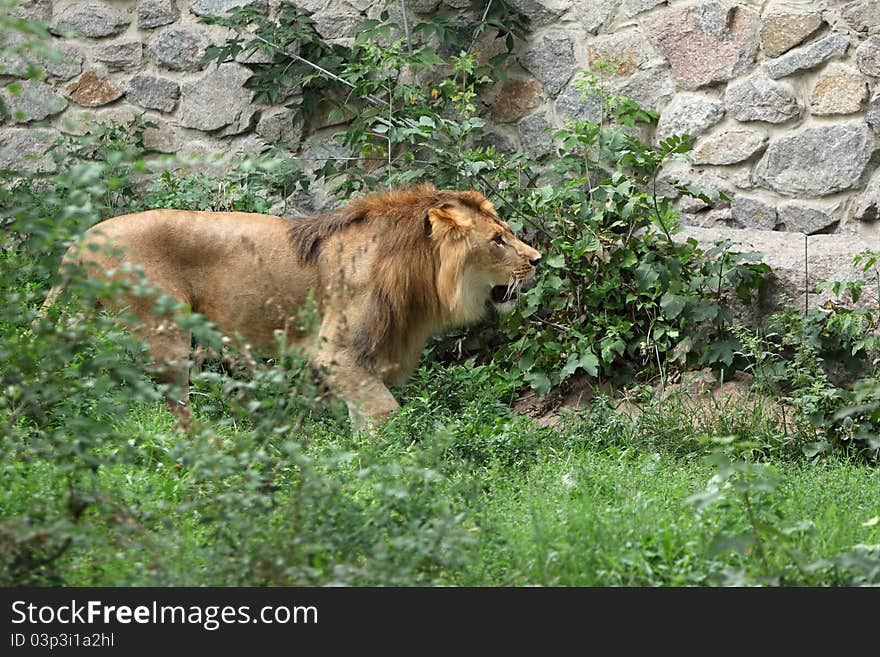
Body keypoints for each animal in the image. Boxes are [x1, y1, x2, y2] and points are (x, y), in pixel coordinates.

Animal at [48, 184, 548, 428]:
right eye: (498, 239)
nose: (539, 261)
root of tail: (82, 240)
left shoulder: (357, 359)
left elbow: (360, 419)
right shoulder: (336, 352)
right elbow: (383, 414)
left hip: (81, 318)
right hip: (164, 332)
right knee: (172, 410)